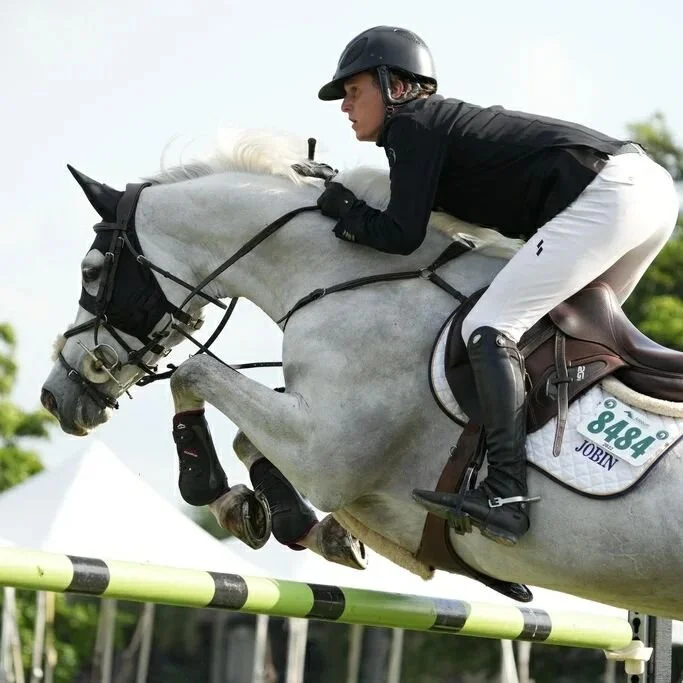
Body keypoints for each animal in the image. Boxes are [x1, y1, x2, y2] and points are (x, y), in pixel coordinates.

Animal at [40, 128, 683, 620]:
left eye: (91, 271)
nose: (55, 396)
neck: (349, 279)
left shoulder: (327, 453)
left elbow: (194, 373)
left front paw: (212, 492)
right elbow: (249, 438)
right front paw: (299, 525)